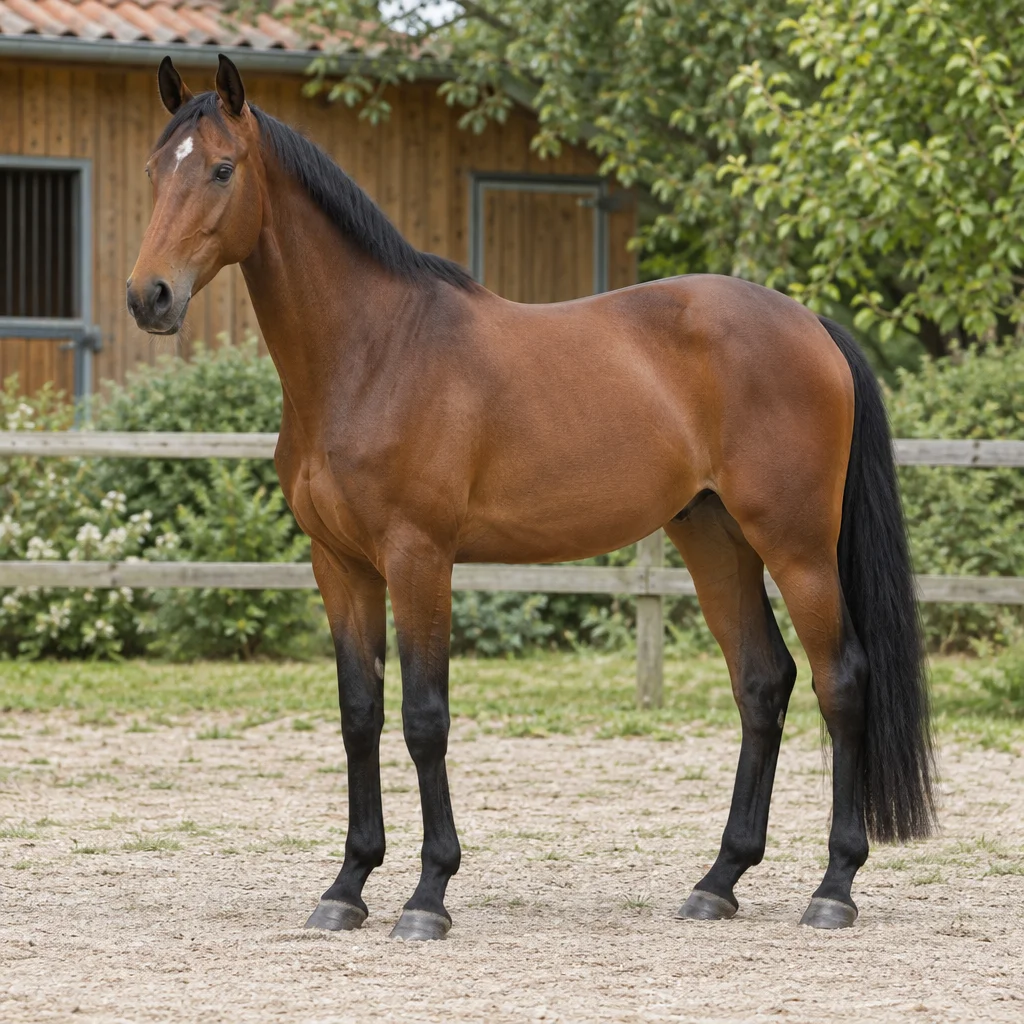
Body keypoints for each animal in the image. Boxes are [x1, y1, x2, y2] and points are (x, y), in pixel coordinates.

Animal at [127, 54, 934, 941]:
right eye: (154, 170)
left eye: (222, 169)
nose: (149, 296)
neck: (373, 353)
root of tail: (812, 326)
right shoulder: (338, 564)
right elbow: (360, 714)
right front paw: (347, 886)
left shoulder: (419, 557)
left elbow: (425, 718)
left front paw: (428, 895)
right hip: (713, 538)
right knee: (763, 683)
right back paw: (718, 880)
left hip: (796, 546)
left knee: (840, 682)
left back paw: (834, 887)